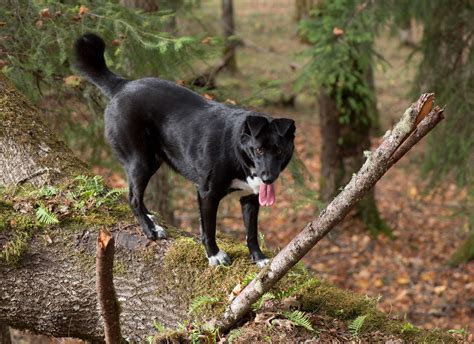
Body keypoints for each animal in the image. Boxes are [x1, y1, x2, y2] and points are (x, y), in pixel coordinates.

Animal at [74, 33, 294, 268]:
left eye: (279, 152)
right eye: (259, 150)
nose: (268, 178)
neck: (238, 149)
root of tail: (122, 85)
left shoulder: (250, 198)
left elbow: (251, 232)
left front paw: (260, 259)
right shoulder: (207, 194)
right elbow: (209, 229)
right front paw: (214, 255)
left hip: (154, 160)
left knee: (137, 196)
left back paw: (151, 218)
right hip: (140, 161)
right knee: (133, 197)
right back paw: (151, 230)